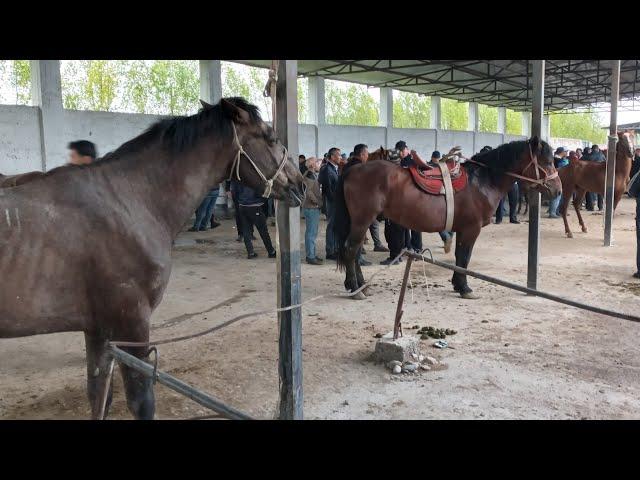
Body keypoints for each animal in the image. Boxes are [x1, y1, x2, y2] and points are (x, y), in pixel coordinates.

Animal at [0, 98, 304, 420]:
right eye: (270, 137)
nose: (301, 184)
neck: (130, 201)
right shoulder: (131, 322)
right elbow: (141, 400)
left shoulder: (98, 329)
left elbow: (99, 395)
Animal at [332, 137, 564, 298]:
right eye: (547, 161)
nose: (558, 190)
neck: (482, 181)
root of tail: (352, 169)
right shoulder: (471, 229)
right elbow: (465, 257)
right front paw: (464, 287)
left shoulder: (463, 229)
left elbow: (460, 257)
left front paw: (457, 284)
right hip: (362, 221)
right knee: (351, 250)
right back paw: (356, 289)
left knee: (354, 251)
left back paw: (360, 286)